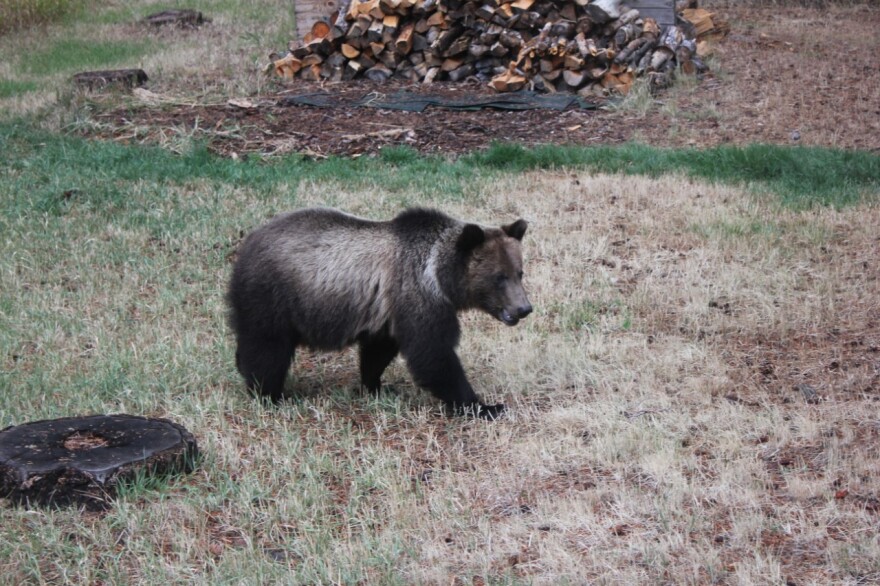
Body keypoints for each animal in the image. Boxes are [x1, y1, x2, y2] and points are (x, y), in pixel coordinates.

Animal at [225, 208, 528, 418]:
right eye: (499, 277)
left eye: (519, 272)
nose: (524, 308)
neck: (439, 275)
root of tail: (247, 244)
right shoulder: (418, 296)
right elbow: (434, 356)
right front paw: (486, 406)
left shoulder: (386, 313)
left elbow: (378, 352)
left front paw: (375, 385)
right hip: (273, 296)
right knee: (267, 348)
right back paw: (270, 394)